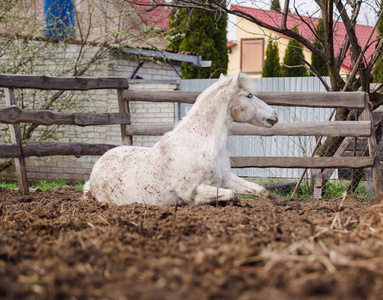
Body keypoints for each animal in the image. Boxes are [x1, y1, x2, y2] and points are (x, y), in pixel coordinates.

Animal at [85, 71, 288, 206]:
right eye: (249, 95)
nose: (275, 115)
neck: (200, 144)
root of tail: (96, 168)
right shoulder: (192, 191)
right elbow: (232, 195)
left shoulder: (226, 178)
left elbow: (261, 190)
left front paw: (283, 202)